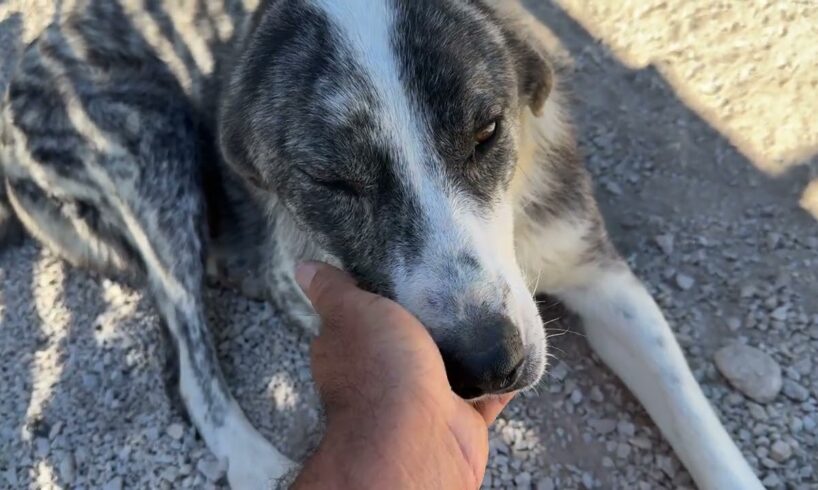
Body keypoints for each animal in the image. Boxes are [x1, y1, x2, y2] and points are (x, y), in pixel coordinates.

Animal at [0, 0, 764, 490]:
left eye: (487, 130)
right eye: (333, 180)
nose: (490, 365)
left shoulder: (598, 270)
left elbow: (694, 413)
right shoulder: (294, 275)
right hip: (152, 148)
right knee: (190, 358)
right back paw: (254, 460)